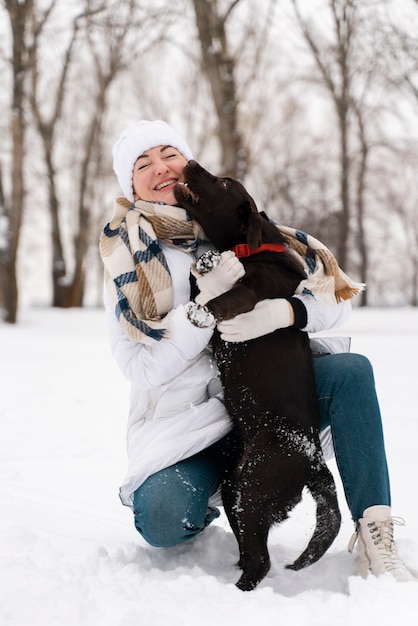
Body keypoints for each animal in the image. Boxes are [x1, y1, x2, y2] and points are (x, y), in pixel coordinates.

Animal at [173, 161, 340, 588]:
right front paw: (207, 264)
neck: (252, 249)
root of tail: (314, 461)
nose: (191, 163)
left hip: (253, 486)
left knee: (260, 562)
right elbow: (199, 281)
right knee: (252, 551)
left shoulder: (251, 293)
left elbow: (221, 298)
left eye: (222, 182)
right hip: (237, 486)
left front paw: (201, 312)